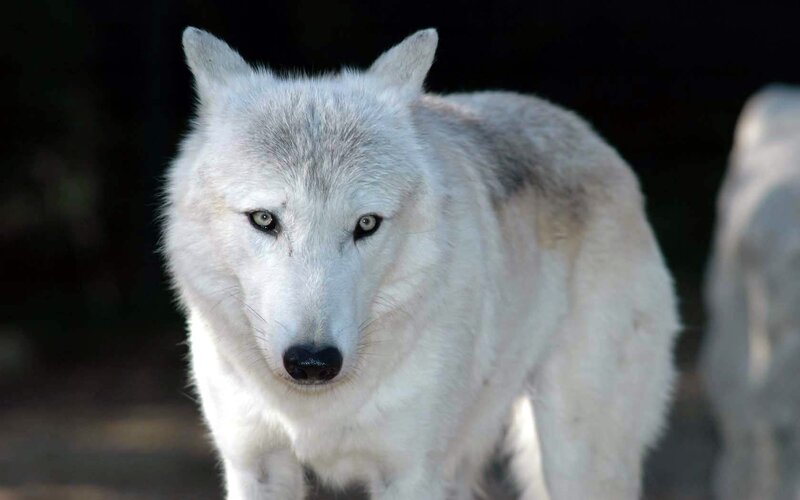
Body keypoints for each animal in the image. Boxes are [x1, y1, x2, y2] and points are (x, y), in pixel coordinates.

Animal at [162, 27, 679, 500]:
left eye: (366, 224)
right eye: (264, 219)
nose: (313, 362)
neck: (314, 410)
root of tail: (591, 137)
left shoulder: (411, 475)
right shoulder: (255, 466)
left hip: (575, 457)